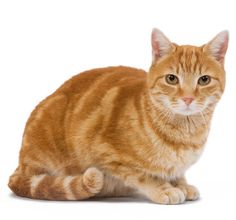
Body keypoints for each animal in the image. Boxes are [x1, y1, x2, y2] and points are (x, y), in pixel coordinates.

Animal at [8, 28, 228, 205]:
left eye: (204, 80)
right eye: (172, 79)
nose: (188, 98)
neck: (184, 133)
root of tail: (21, 162)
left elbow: (176, 172)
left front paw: (181, 184)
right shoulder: (109, 155)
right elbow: (143, 176)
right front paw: (164, 189)